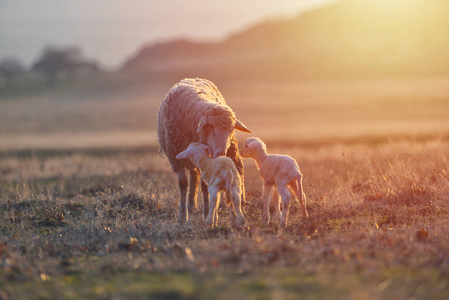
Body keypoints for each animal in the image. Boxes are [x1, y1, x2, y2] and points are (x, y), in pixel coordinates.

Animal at [156, 77, 250, 223]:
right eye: (211, 126)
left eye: (230, 130)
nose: (221, 153)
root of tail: (191, 78)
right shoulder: (175, 157)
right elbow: (183, 184)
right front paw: (182, 215)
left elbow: (205, 186)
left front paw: (206, 213)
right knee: (194, 176)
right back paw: (191, 206)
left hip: (232, 148)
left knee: (239, 167)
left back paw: (242, 202)